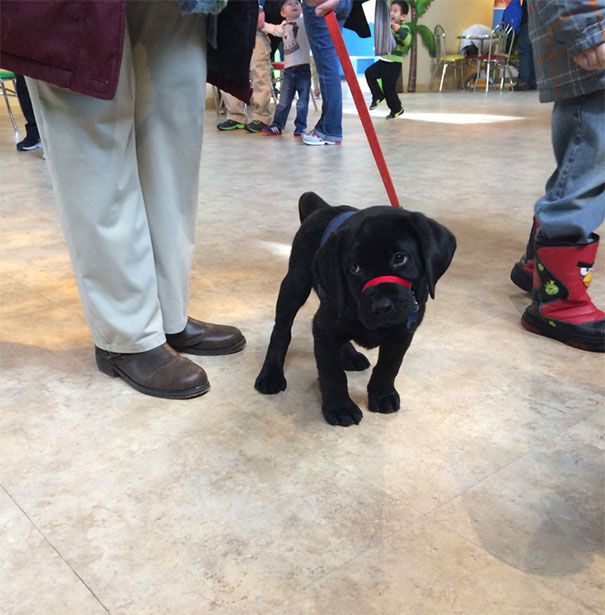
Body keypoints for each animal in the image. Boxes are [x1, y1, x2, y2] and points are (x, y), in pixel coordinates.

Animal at [252, 194, 456, 428]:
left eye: (400, 257)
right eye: (354, 268)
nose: (381, 307)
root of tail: (325, 208)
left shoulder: (403, 332)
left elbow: (389, 366)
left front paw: (382, 395)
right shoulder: (323, 328)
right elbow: (332, 373)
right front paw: (339, 407)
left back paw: (350, 355)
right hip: (295, 283)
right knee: (281, 330)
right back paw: (271, 374)